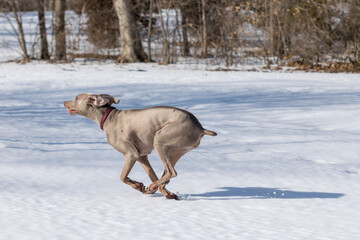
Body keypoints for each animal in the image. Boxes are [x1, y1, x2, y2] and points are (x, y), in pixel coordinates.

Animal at [64, 93, 217, 200]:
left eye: (76, 98)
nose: (64, 102)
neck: (109, 118)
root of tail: (200, 128)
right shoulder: (142, 156)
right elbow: (152, 175)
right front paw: (161, 192)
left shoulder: (131, 154)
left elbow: (122, 177)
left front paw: (138, 185)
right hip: (175, 151)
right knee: (166, 175)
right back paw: (157, 188)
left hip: (160, 140)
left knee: (171, 172)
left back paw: (152, 186)